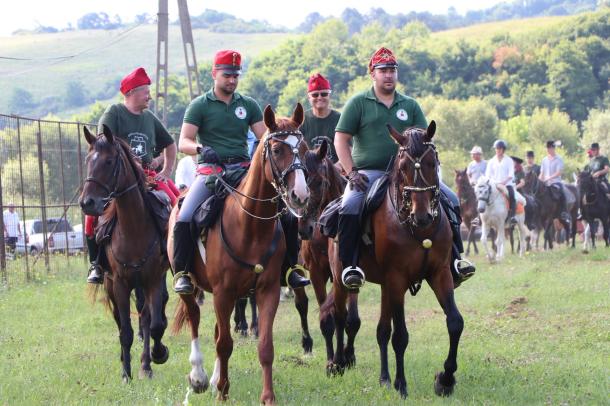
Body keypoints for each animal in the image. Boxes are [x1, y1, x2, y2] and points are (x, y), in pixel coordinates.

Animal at [79, 127, 169, 384]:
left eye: (109, 161)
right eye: (88, 161)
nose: (87, 203)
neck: (134, 228)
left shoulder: (153, 280)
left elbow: (154, 324)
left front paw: (155, 357)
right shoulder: (119, 283)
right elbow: (125, 331)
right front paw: (126, 374)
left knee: (146, 318)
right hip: (111, 284)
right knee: (120, 321)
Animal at [169, 104, 308, 402]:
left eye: (303, 148)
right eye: (276, 150)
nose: (300, 195)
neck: (250, 225)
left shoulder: (266, 290)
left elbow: (264, 346)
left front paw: (267, 397)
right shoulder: (223, 292)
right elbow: (224, 344)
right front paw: (222, 392)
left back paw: (212, 378)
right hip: (191, 284)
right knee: (195, 319)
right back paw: (199, 377)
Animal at [320, 122, 458, 398]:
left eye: (432, 163)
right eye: (403, 166)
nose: (422, 215)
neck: (420, 231)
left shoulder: (440, 273)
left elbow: (454, 323)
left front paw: (445, 380)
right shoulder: (397, 278)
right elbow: (401, 336)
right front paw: (402, 385)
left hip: (386, 287)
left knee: (382, 330)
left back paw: (384, 378)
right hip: (342, 280)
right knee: (339, 316)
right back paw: (337, 363)